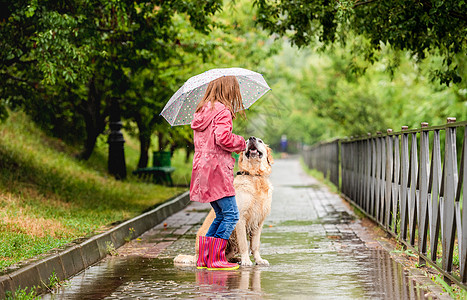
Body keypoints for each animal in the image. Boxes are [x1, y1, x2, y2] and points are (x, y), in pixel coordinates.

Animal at [176, 136, 274, 264]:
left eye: (260, 141)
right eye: (246, 142)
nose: (251, 138)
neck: (254, 176)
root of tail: (196, 255)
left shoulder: (258, 221)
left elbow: (255, 245)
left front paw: (259, 260)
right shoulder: (241, 219)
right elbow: (244, 244)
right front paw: (246, 261)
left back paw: (234, 260)